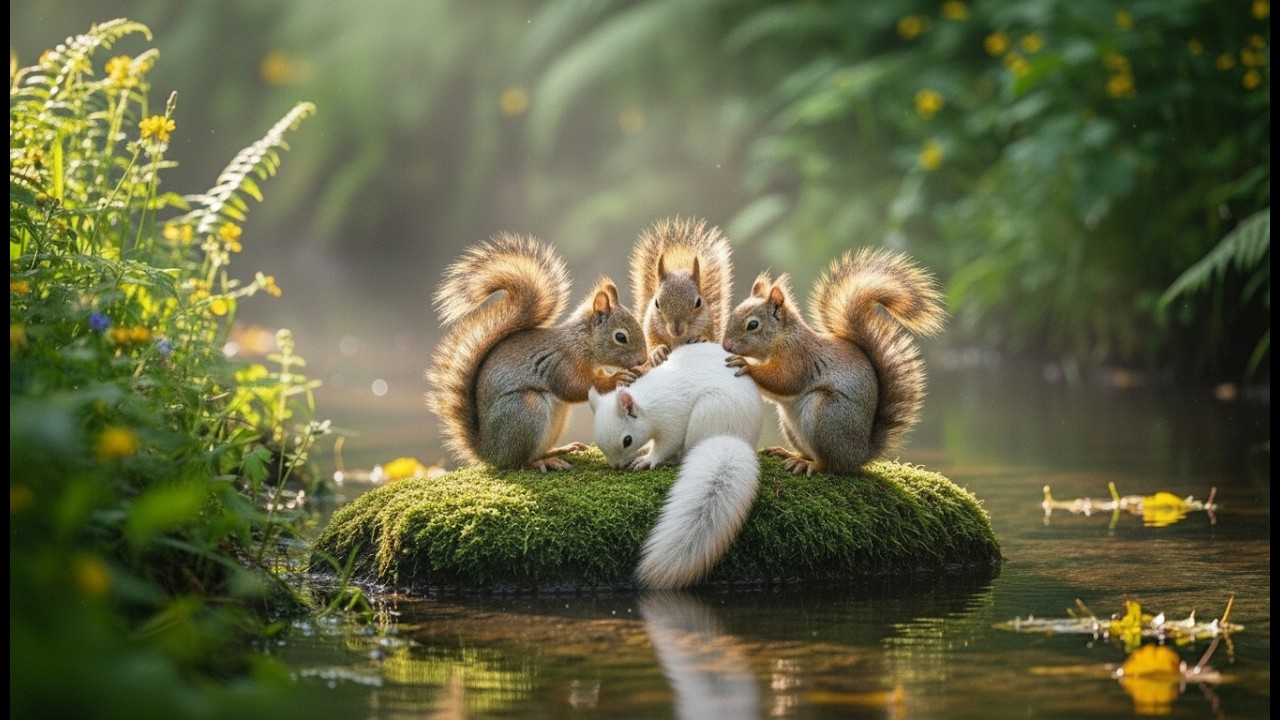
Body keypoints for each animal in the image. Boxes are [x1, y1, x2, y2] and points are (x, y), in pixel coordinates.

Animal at [425, 233, 646, 472]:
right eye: (620, 337)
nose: (643, 359)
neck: (581, 342)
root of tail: (489, 451)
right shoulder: (561, 362)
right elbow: (574, 387)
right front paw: (617, 378)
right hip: (527, 410)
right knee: (519, 462)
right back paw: (543, 462)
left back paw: (559, 450)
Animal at [588, 342, 763, 590]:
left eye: (627, 440)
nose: (617, 466)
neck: (650, 405)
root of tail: (735, 438)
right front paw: (643, 452)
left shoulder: (672, 421)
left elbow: (666, 445)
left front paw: (647, 460)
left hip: (708, 412)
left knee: (685, 451)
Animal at [628, 216, 734, 367]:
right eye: (657, 303)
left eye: (698, 303)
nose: (676, 329)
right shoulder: (650, 327)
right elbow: (651, 345)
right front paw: (657, 351)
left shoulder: (708, 325)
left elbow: (710, 337)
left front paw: (701, 338)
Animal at [722, 247, 946, 476]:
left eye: (753, 325)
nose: (725, 345)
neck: (783, 337)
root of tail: (860, 453)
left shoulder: (799, 357)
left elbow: (784, 380)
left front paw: (745, 364)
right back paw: (789, 454)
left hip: (825, 416)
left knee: (829, 464)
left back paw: (809, 464)